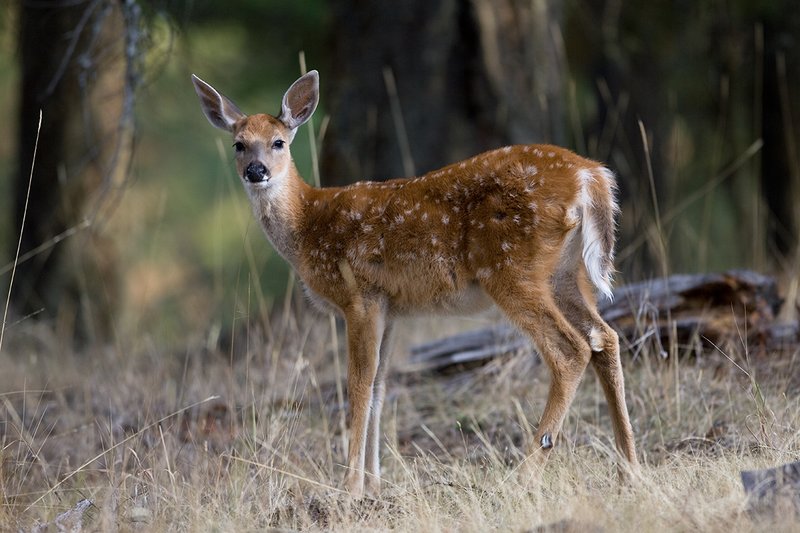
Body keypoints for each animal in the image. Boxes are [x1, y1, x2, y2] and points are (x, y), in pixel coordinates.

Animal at [191, 69, 639, 498]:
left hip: (512, 268)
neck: (307, 225)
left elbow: (358, 385)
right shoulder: (391, 308)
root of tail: (591, 175)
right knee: (605, 337)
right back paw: (629, 470)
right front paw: (374, 484)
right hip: (567, 274)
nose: (257, 171)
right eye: (239, 145)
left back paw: (524, 476)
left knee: (570, 349)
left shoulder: (360, 297)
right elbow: (379, 388)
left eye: (279, 142)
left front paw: (349, 487)